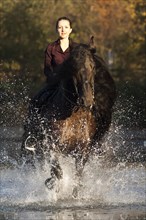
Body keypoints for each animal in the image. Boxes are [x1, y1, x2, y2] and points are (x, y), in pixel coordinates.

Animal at [20, 38, 116, 192]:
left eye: (93, 67)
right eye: (74, 68)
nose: (87, 100)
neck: (71, 115)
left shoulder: (82, 153)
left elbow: (77, 179)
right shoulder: (51, 147)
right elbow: (57, 172)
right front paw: (52, 184)